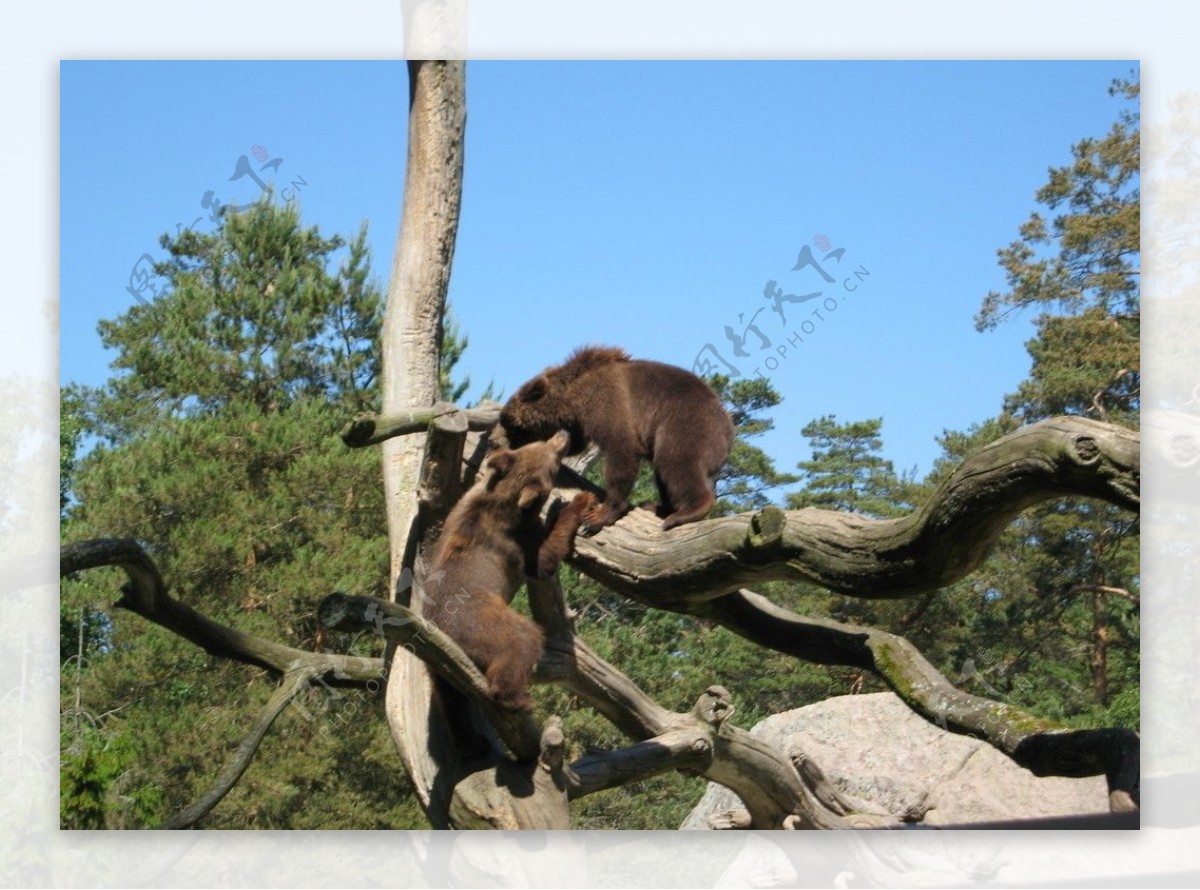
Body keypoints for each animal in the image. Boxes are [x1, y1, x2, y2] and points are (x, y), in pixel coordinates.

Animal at [422, 429, 595, 714]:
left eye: (537, 443)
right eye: (551, 458)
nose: (563, 434)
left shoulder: (465, 504)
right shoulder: (512, 542)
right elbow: (542, 561)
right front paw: (575, 502)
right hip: (478, 622)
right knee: (521, 639)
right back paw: (518, 699)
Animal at [494, 347, 729, 530]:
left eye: (511, 424)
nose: (504, 438)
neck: (574, 399)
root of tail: (727, 423)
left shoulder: (610, 405)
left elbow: (621, 451)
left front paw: (596, 516)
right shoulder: (580, 422)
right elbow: (577, 443)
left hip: (683, 425)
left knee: (676, 463)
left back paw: (685, 512)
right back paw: (656, 506)